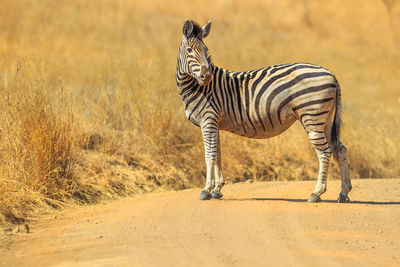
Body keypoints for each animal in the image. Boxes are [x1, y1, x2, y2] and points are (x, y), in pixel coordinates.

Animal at [177, 19, 352, 203]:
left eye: (206, 50)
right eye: (189, 50)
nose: (207, 76)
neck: (198, 88)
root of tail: (331, 74)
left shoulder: (208, 120)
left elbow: (209, 155)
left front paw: (206, 190)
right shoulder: (214, 123)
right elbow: (218, 155)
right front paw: (217, 189)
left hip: (312, 116)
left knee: (324, 152)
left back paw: (316, 193)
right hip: (325, 119)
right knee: (339, 149)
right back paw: (343, 193)